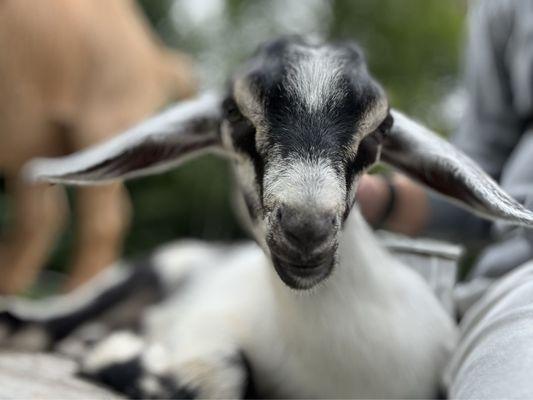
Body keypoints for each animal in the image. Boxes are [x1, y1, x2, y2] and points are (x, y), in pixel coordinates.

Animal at [0, 0, 197, 294]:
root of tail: (157, 57)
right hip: (34, 138)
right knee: (42, 213)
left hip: (106, 115)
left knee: (101, 218)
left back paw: (76, 294)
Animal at [3, 36, 532, 396]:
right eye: (235, 114)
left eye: (381, 130)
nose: (306, 229)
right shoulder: (205, 325)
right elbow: (224, 373)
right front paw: (121, 356)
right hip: (147, 272)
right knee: (35, 327)